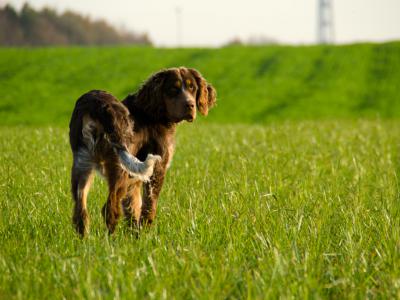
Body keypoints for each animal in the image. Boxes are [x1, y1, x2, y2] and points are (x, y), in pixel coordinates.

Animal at [70, 67, 217, 236]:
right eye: (173, 89)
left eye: (192, 87)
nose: (190, 105)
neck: (153, 113)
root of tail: (97, 106)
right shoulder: (157, 169)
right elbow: (148, 208)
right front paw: (146, 235)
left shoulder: (134, 179)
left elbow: (133, 208)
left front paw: (135, 235)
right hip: (119, 168)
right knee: (109, 209)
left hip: (82, 165)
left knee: (81, 213)